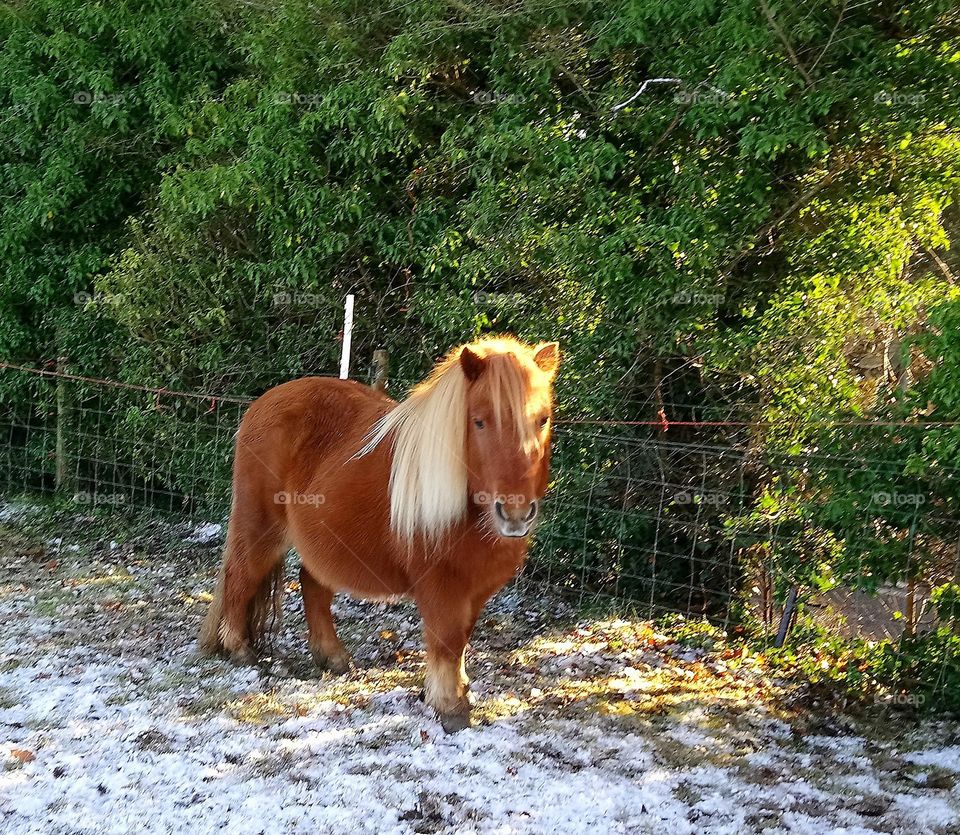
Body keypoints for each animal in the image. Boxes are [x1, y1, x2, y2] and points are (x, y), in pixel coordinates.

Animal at [203, 338, 564, 732]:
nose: (515, 513)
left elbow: (463, 639)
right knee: (241, 575)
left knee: (311, 586)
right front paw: (450, 707)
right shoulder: (441, 585)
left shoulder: (477, 588)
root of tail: (262, 402)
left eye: (542, 419)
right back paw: (239, 650)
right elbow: (448, 640)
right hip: (260, 528)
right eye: (479, 421)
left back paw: (333, 657)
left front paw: (457, 691)